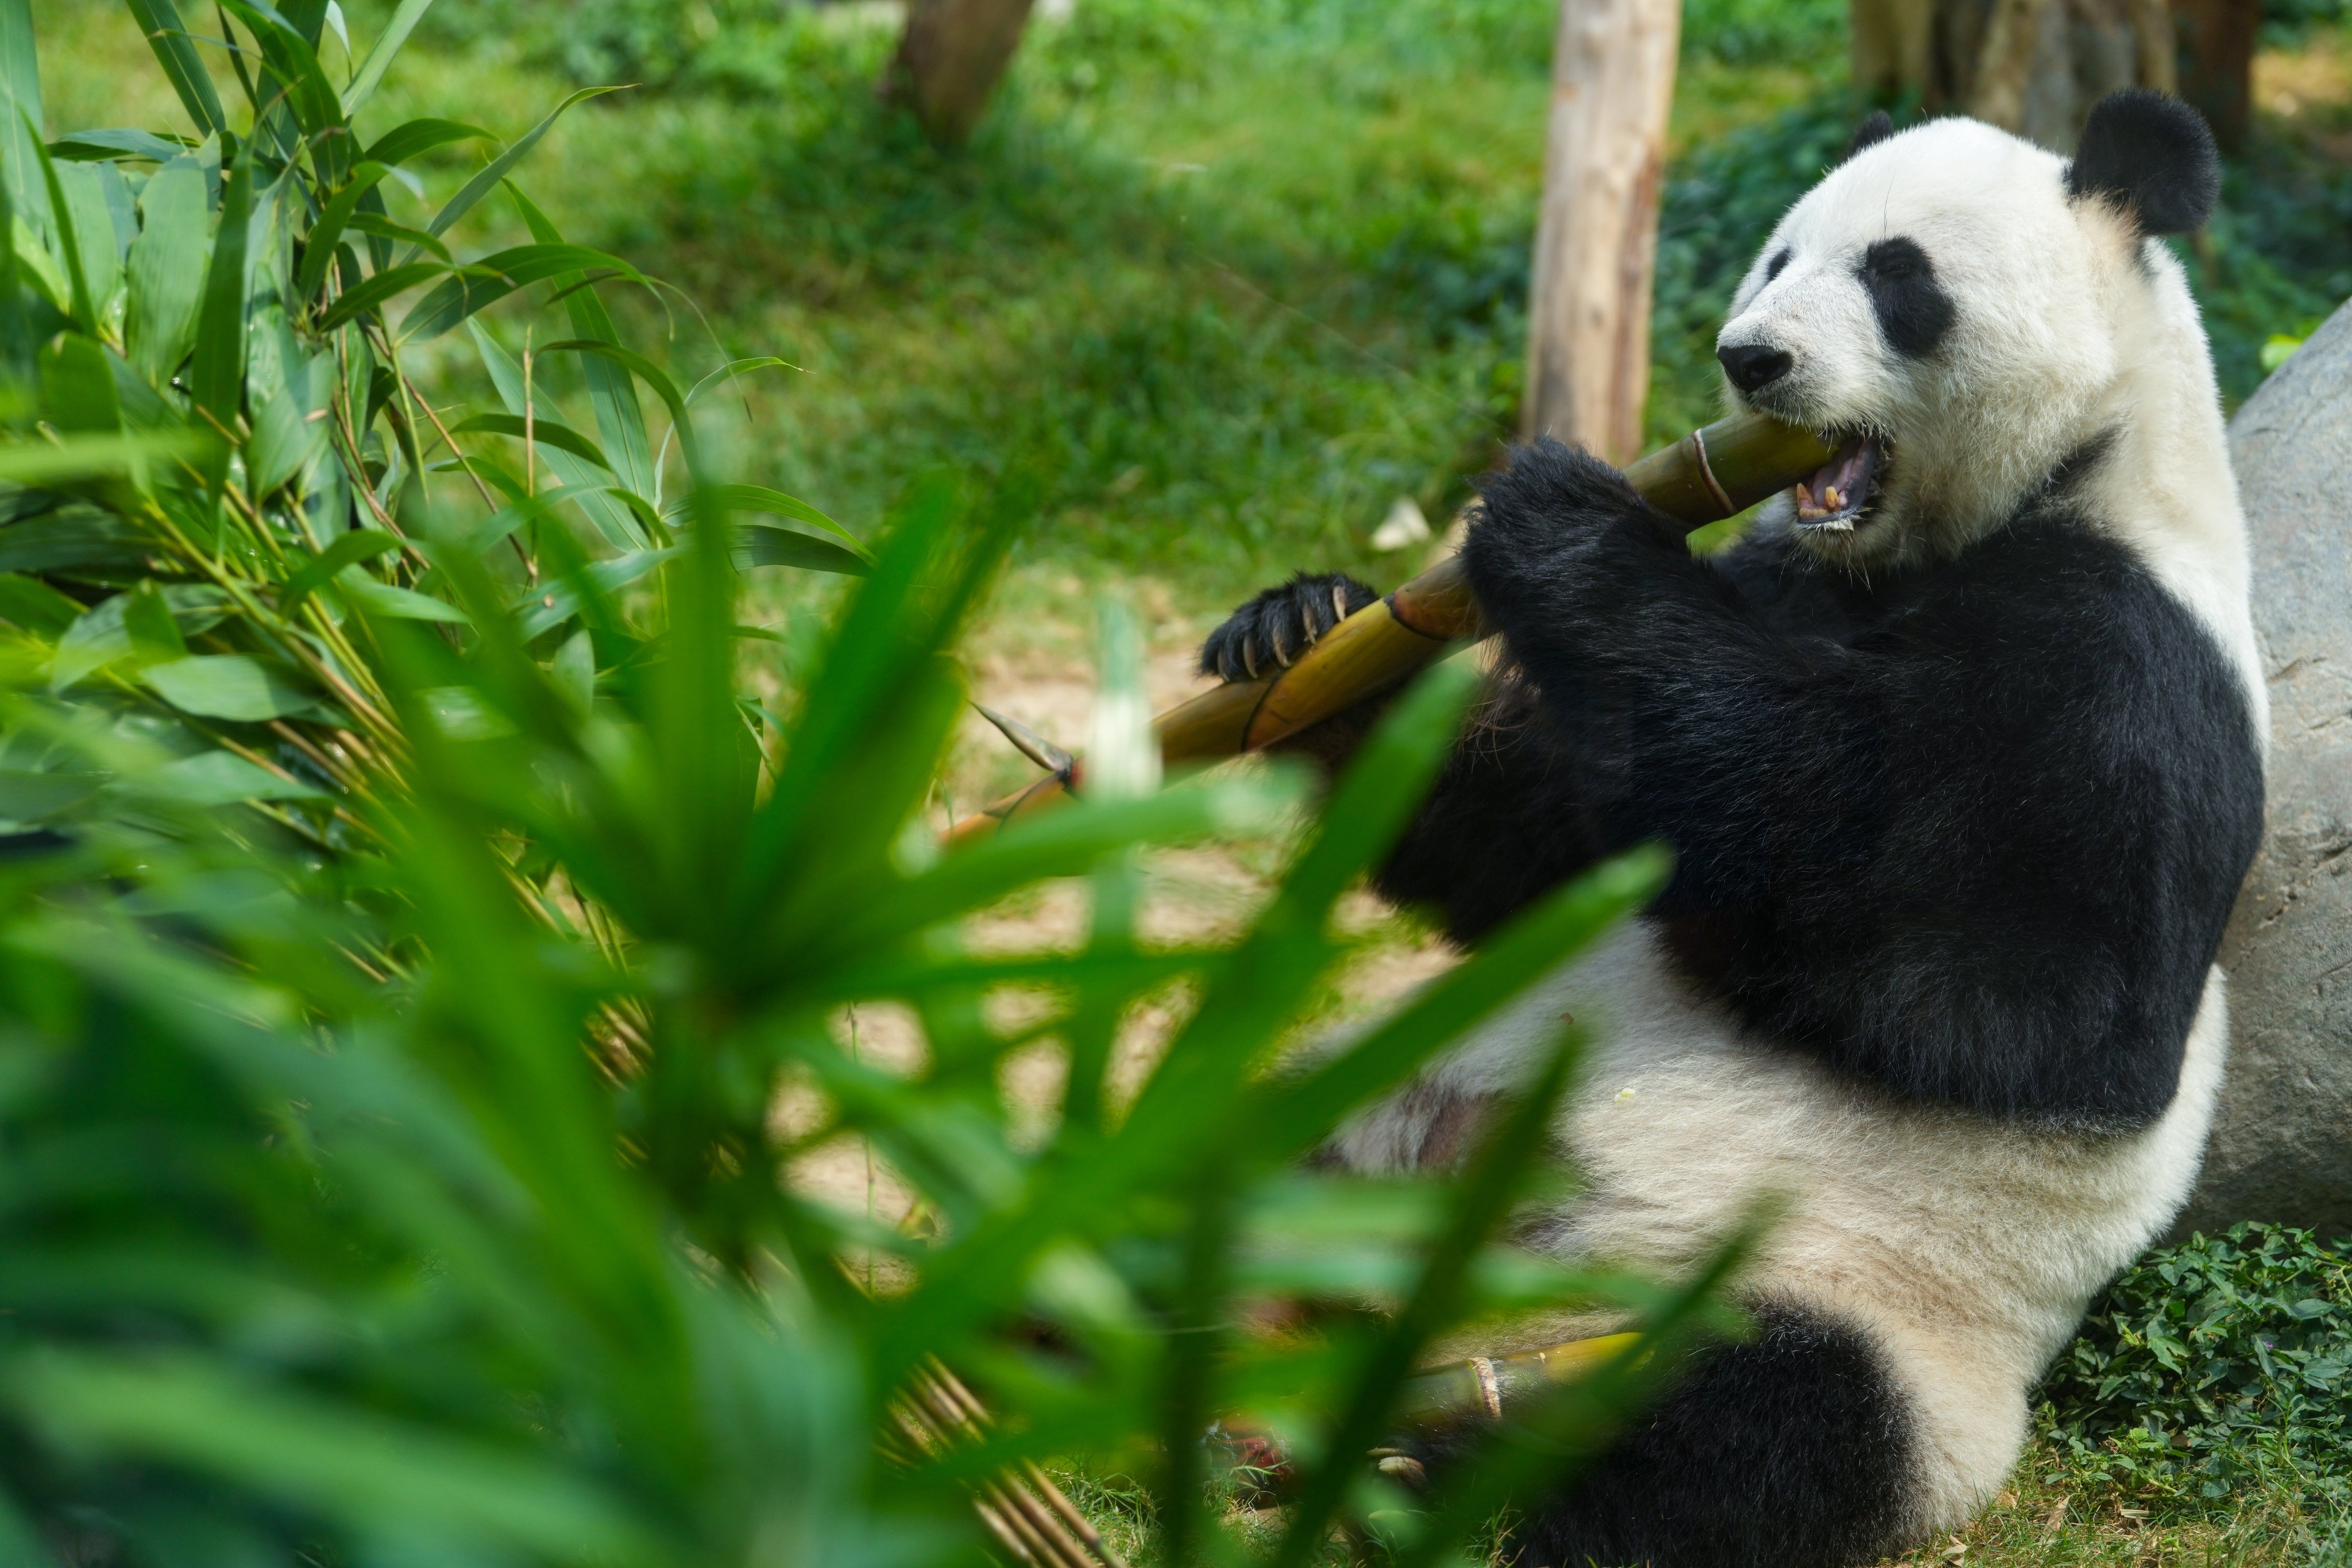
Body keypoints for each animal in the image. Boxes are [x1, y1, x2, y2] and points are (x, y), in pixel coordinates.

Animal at [1204, 95, 2267, 1568]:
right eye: (1776, 257)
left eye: (1897, 277)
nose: (1749, 359)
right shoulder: (1786, 583)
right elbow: (1557, 850)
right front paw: (1304, 637)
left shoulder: (2133, 679)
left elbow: (2013, 998)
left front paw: (1561, 522)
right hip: (1360, 1118)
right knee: (1200, 1179)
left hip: (1851, 1314)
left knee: (1739, 1427)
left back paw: (1421, 1472)